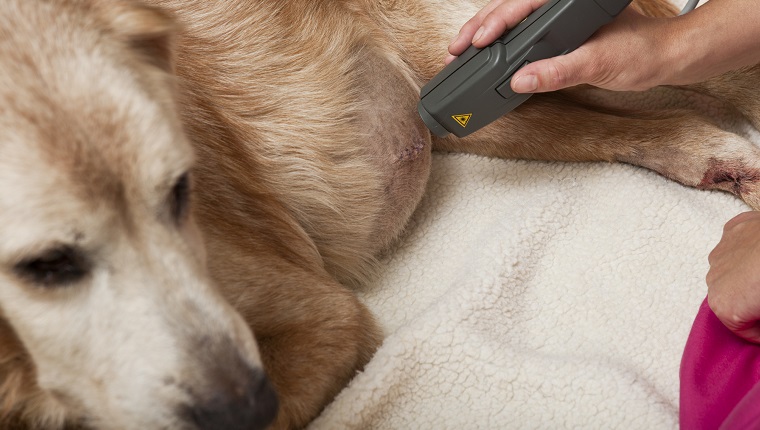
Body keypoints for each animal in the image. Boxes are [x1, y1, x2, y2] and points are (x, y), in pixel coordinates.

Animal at [1, 0, 760, 428]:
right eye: (46, 264)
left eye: (180, 191)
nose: (243, 404)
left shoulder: (322, 317)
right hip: (490, 113)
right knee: (654, 120)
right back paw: (720, 162)